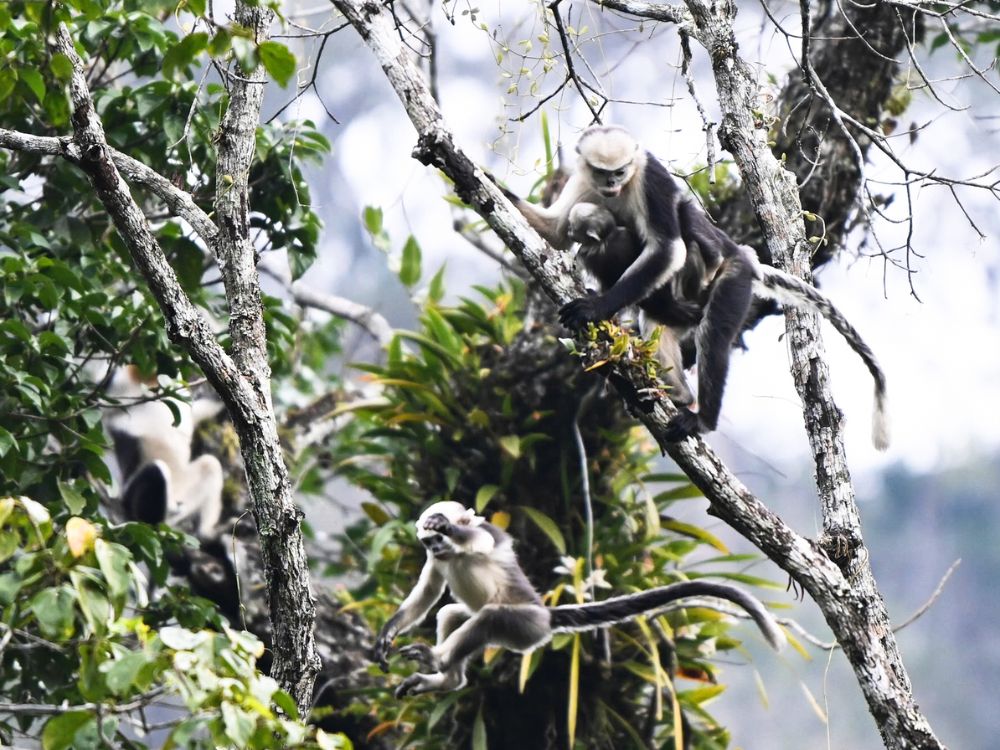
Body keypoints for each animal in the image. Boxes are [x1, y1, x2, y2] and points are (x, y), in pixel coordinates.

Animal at [373, 501, 785, 697]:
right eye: (428, 543)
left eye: (440, 536)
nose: (437, 544)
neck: (452, 555)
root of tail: (546, 614)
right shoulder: (435, 561)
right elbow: (427, 594)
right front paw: (387, 633)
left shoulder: (484, 535)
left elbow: (482, 539)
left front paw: (452, 527)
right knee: (452, 614)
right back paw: (447, 678)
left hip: (527, 627)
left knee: (490, 618)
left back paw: (437, 661)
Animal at [503, 125, 889, 450]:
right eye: (603, 172)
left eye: (621, 171)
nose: (612, 183)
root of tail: (744, 257)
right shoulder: (583, 178)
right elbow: (554, 230)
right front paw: (484, 182)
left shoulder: (650, 178)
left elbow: (667, 248)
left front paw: (595, 308)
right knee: (656, 322)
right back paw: (679, 393)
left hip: (731, 278)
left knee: (711, 331)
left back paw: (702, 416)